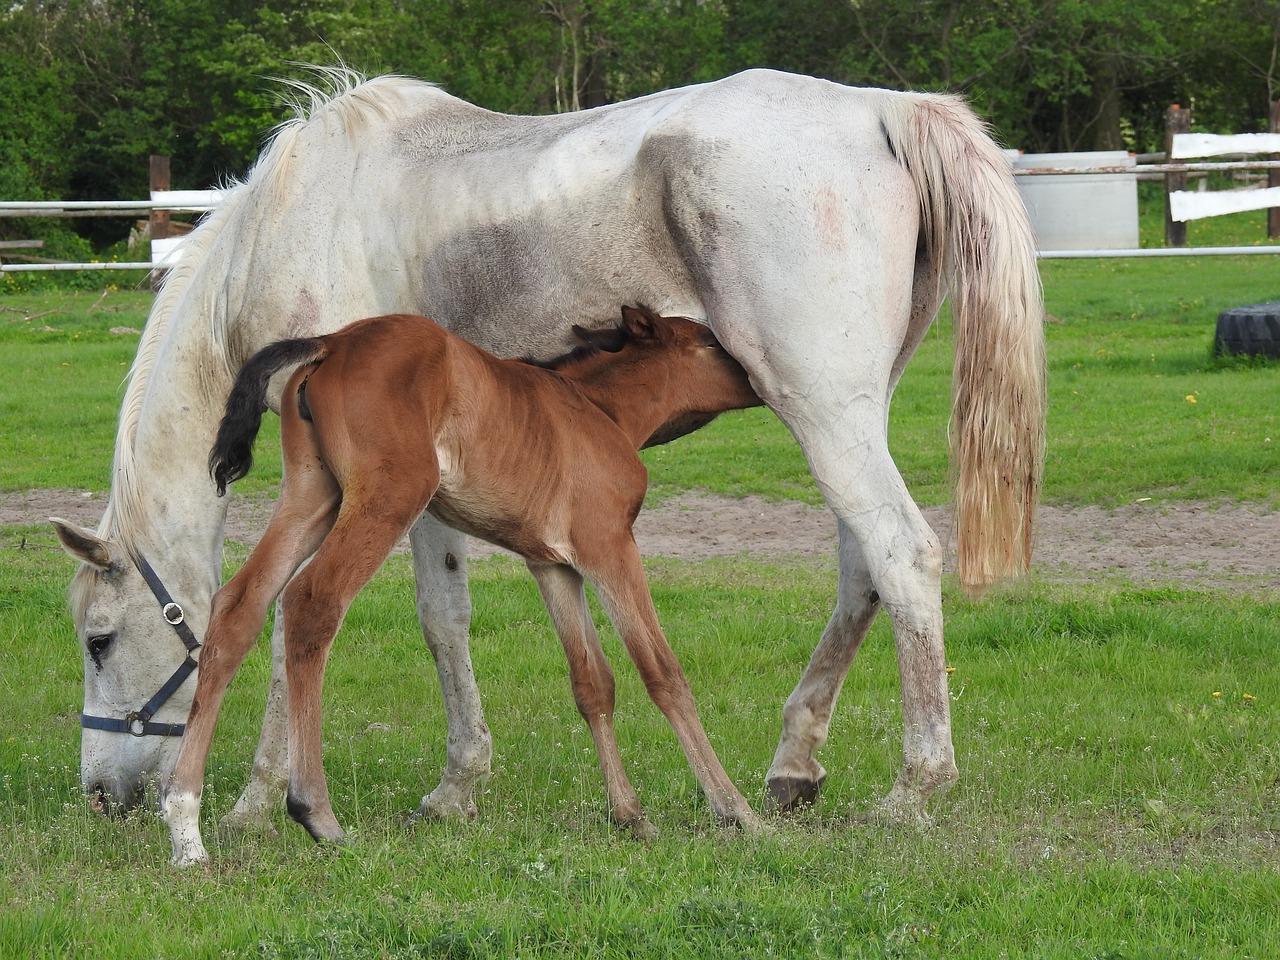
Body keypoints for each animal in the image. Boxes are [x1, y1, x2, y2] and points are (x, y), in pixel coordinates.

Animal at [160, 305, 757, 865]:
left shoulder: (552, 565)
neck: (599, 411)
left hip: (313, 494)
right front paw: (736, 811)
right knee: (312, 601)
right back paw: (317, 813)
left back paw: (185, 824)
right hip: (392, 492)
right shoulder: (608, 546)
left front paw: (630, 815)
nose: (754, 378)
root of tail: (333, 341)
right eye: (708, 343)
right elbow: (663, 672)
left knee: (239, 605)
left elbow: (592, 682)